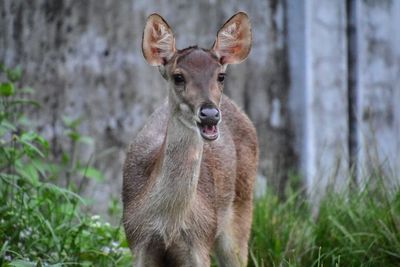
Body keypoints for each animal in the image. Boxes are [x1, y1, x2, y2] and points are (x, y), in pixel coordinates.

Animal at [123, 11, 258, 266]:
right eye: (178, 77)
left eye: (221, 76)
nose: (210, 114)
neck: (168, 223)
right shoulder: (137, 241)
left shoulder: (199, 242)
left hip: (241, 209)